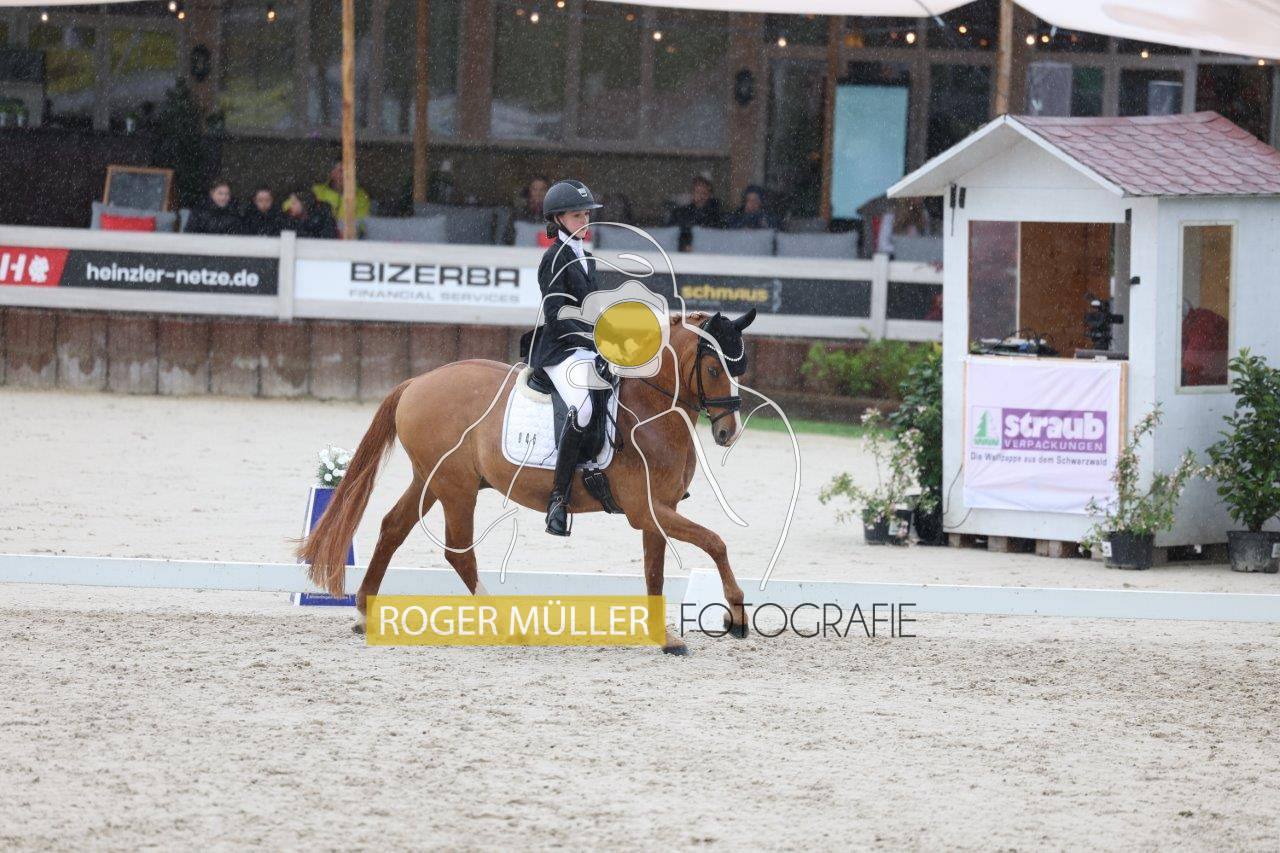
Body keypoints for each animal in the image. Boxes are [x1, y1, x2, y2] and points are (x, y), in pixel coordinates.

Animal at [296, 309, 758, 654]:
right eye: (713, 368)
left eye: (739, 368)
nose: (728, 433)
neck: (651, 410)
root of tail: (417, 382)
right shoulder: (645, 509)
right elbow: (716, 542)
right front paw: (735, 616)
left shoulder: (659, 510)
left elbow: (655, 573)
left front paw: (664, 638)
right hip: (456, 487)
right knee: (458, 553)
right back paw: (503, 623)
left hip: (430, 480)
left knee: (393, 528)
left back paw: (363, 613)